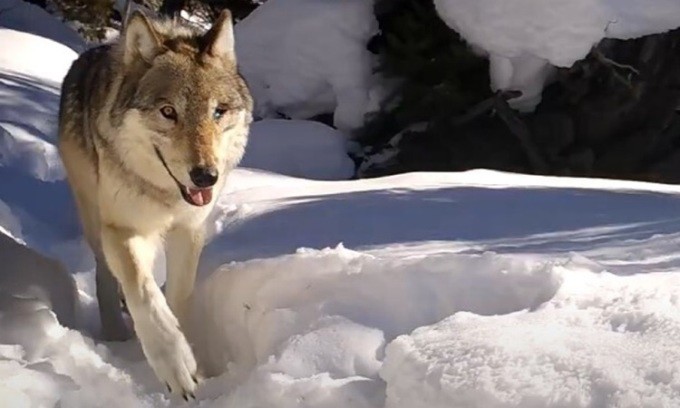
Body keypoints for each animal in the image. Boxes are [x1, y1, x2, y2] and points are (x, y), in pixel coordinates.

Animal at [57, 9, 252, 398]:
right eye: (168, 111)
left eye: (219, 112)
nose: (206, 177)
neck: (166, 196)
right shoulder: (123, 228)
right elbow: (145, 294)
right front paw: (175, 366)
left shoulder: (189, 230)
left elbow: (177, 297)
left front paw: (194, 362)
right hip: (94, 216)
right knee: (106, 272)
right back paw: (115, 331)